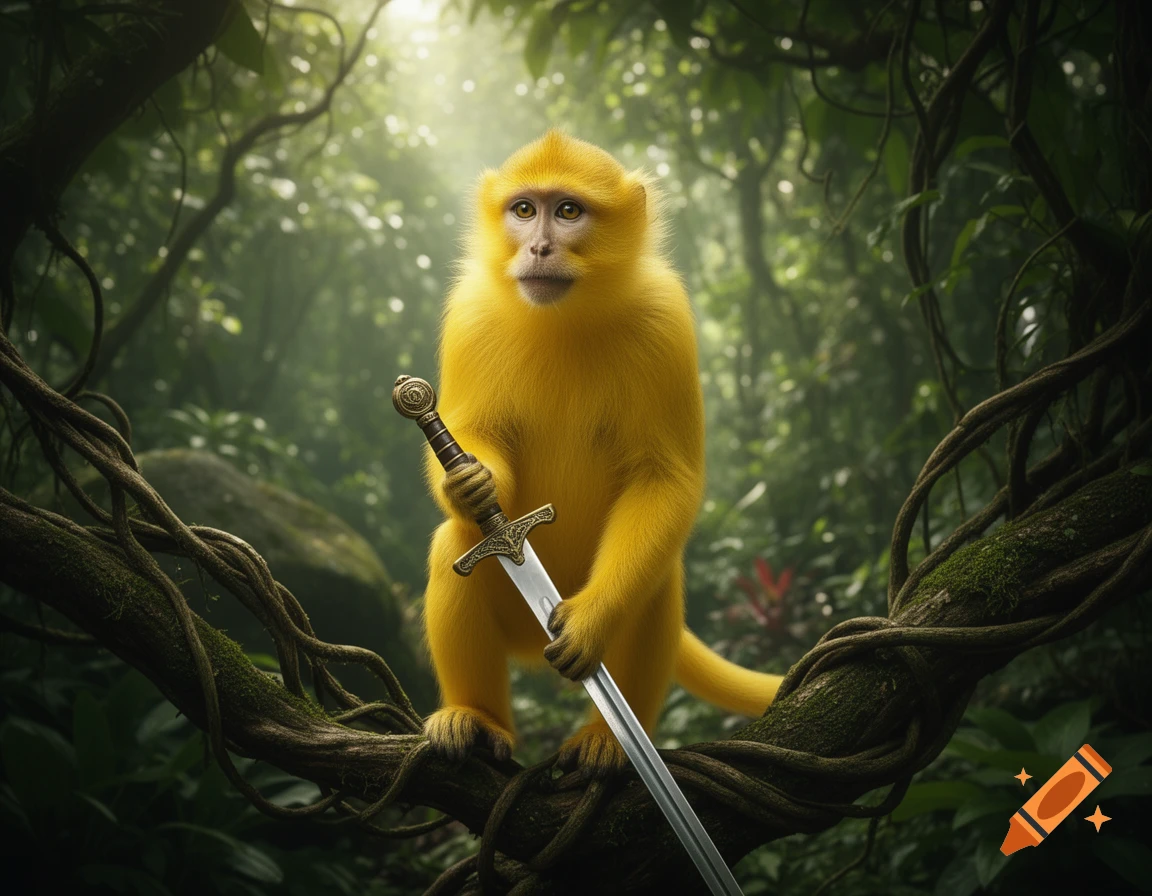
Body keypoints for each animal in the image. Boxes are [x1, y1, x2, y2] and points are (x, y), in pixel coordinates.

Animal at [419, 130, 783, 774]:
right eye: (523, 209)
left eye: (568, 211)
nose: (538, 246)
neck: (565, 316)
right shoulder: (471, 313)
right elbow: (471, 441)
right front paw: (471, 484)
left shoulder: (668, 320)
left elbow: (666, 479)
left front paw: (590, 625)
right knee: (456, 543)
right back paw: (476, 717)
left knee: (657, 577)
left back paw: (606, 737)